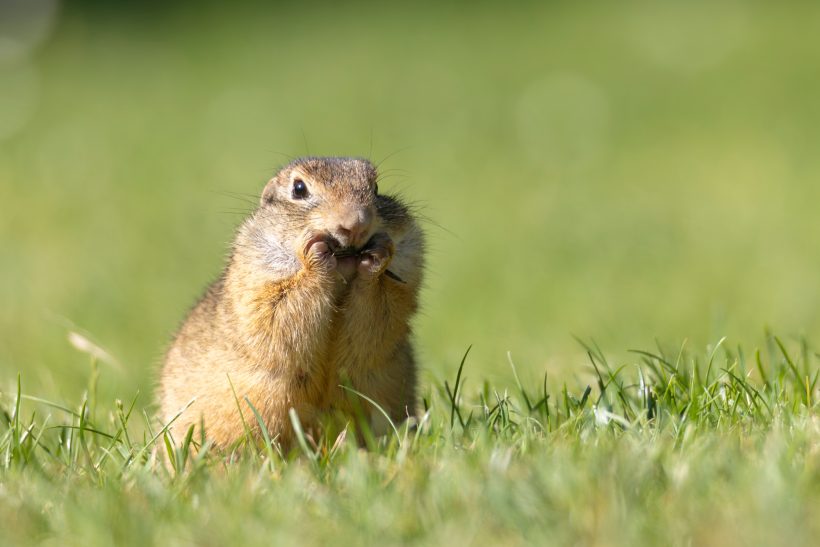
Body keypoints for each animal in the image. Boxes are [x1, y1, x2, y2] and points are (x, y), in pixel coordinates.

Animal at [158, 156, 426, 448]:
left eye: (376, 188)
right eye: (299, 189)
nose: (356, 223)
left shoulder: (403, 281)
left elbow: (382, 312)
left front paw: (377, 254)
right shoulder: (257, 280)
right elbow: (277, 311)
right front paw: (315, 253)